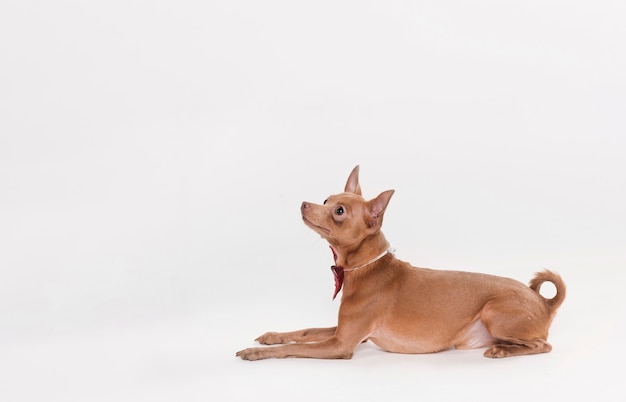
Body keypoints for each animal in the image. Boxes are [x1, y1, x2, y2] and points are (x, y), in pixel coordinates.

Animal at [235, 165, 564, 360]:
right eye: (326, 200)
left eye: (339, 211)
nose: (304, 204)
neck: (366, 268)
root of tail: (543, 302)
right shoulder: (343, 332)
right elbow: (303, 332)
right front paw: (271, 336)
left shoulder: (342, 345)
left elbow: (296, 347)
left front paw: (254, 352)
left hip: (495, 312)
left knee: (543, 345)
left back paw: (502, 350)